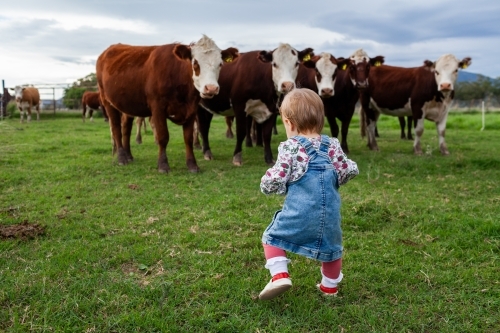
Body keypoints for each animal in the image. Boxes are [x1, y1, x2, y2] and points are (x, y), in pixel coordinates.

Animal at [97, 35, 240, 172]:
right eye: (195, 63)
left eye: (220, 64)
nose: (211, 88)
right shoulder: (158, 108)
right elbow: (163, 137)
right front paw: (163, 165)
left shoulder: (191, 109)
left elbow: (188, 138)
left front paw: (192, 165)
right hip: (107, 101)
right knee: (116, 129)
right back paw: (122, 158)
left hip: (128, 105)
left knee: (126, 128)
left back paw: (128, 155)